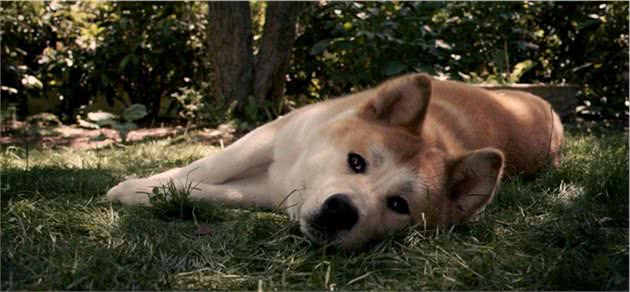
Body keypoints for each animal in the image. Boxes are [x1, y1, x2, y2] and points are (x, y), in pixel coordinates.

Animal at [106, 72, 564, 249]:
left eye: (398, 205)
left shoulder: (270, 192)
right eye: (356, 162)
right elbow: (208, 168)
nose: (342, 210)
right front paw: (137, 185)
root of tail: (547, 107)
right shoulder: (272, 136)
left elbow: (210, 191)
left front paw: (146, 193)